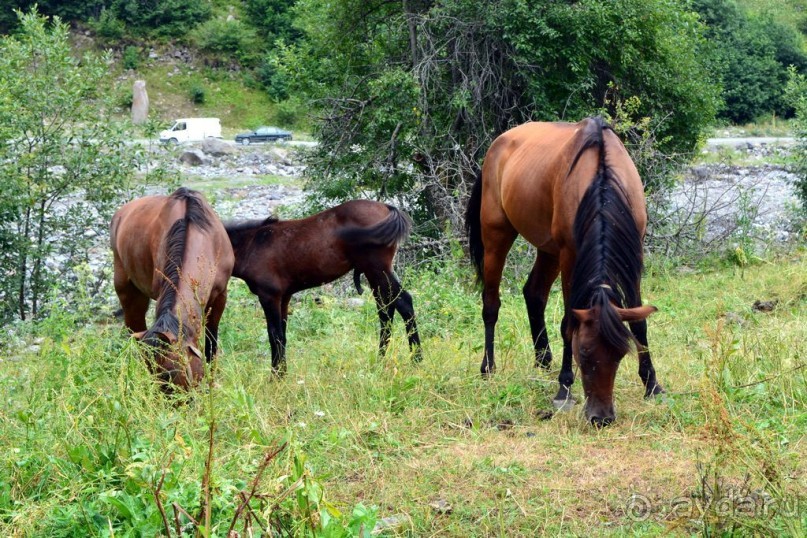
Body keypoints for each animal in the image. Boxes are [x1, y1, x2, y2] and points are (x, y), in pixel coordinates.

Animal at [224, 198, 420, 372]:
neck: (253, 244)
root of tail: (387, 207)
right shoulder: (284, 296)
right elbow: (283, 335)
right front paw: (282, 373)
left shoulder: (269, 296)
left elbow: (275, 336)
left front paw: (276, 377)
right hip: (375, 275)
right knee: (386, 310)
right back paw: (381, 360)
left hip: (377, 270)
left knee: (403, 303)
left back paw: (416, 360)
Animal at [464, 116, 664, 422]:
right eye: (584, 352)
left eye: (620, 354)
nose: (601, 418)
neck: (600, 177)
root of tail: (498, 144)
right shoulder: (570, 255)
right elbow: (569, 323)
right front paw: (565, 388)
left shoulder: (634, 252)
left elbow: (639, 323)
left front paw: (652, 384)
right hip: (497, 236)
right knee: (491, 304)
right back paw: (488, 367)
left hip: (548, 250)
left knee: (534, 293)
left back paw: (543, 359)